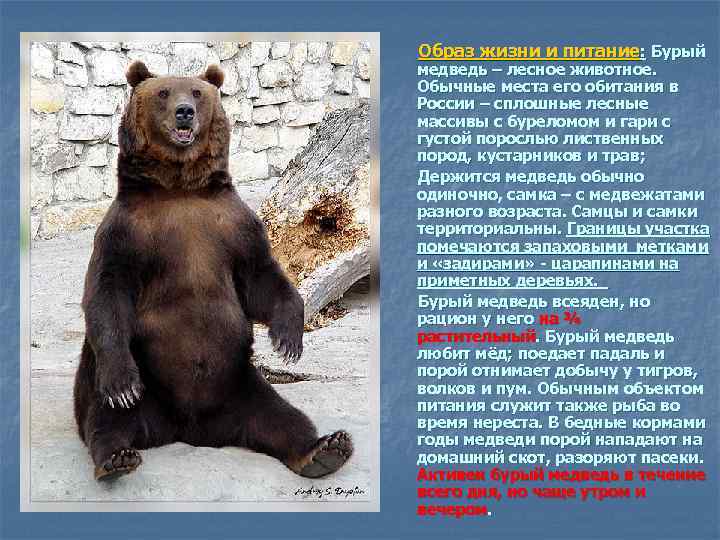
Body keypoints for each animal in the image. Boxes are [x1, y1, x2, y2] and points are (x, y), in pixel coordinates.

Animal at [72, 61, 353, 482]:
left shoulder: (232, 225)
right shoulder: (126, 232)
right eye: (163, 93)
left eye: (197, 92)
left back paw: (325, 449)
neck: (179, 189)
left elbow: (262, 276)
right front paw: (122, 386)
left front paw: (288, 341)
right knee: (107, 419)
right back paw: (117, 457)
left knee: (281, 417)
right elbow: (108, 291)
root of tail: (189, 428)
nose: (184, 112)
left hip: (239, 383)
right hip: (148, 381)